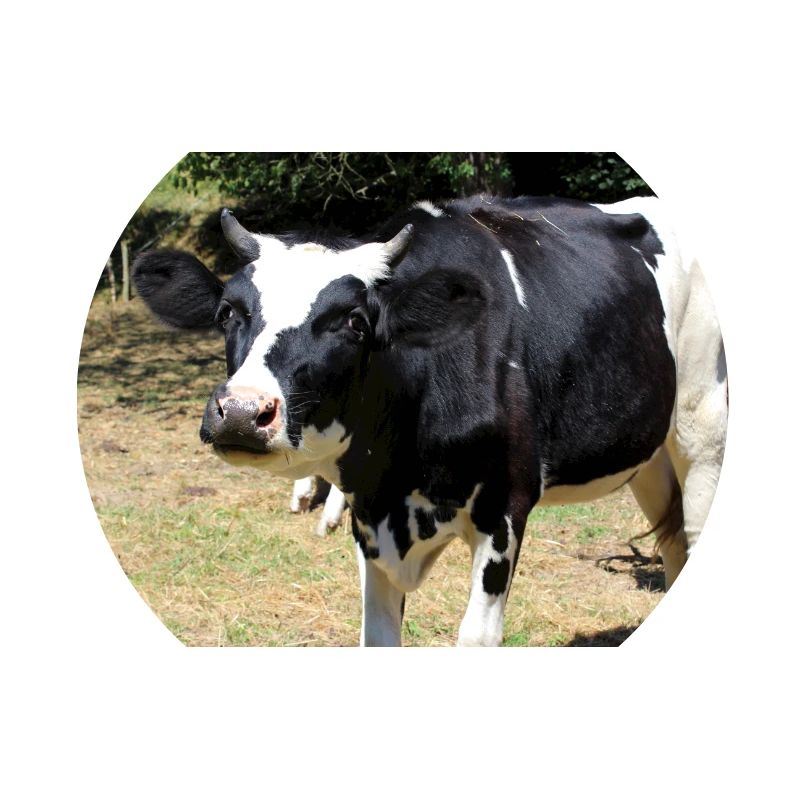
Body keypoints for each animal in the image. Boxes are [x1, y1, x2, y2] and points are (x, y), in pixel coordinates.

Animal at [133, 194, 727, 646]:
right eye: (228, 313)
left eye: (354, 321)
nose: (240, 411)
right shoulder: (369, 513)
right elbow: (377, 634)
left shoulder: (505, 506)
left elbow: (476, 635)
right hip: (647, 450)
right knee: (673, 544)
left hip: (703, 429)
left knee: (694, 531)